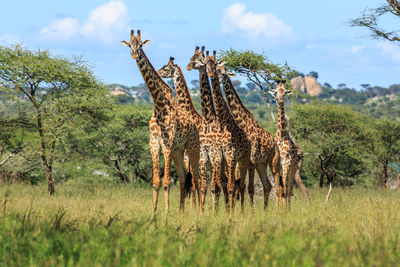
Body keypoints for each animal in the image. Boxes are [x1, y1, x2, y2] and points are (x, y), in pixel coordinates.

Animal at [118, 29, 200, 214]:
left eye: (140, 45)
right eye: (129, 44)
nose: (134, 54)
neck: (159, 103)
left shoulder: (167, 143)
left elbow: (167, 182)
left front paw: (166, 212)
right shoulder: (154, 143)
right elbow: (156, 182)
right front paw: (154, 212)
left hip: (192, 148)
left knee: (198, 179)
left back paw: (200, 210)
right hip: (179, 150)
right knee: (184, 178)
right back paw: (182, 210)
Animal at [206, 51, 250, 213]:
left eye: (223, 71)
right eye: (217, 69)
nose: (212, 74)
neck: (224, 123)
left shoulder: (231, 154)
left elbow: (231, 186)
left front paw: (230, 212)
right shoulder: (219, 154)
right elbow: (221, 184)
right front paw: (222, 211)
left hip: (244, 159)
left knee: (242, 185)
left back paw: (243, 212)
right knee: (230, 183)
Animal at [212, 58, 282, 209]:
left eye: (223, 71)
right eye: (216, 69)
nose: (216, 77)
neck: (243, 123)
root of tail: (275, 144)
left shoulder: (251, 159)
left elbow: (248, 187)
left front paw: (249, 211)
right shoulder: (245, 161)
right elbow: (239, 185)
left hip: (272, 161)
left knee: (278, 186)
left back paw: (281, 210)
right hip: (261, 164)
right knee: (267, 185)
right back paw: (266, 210)